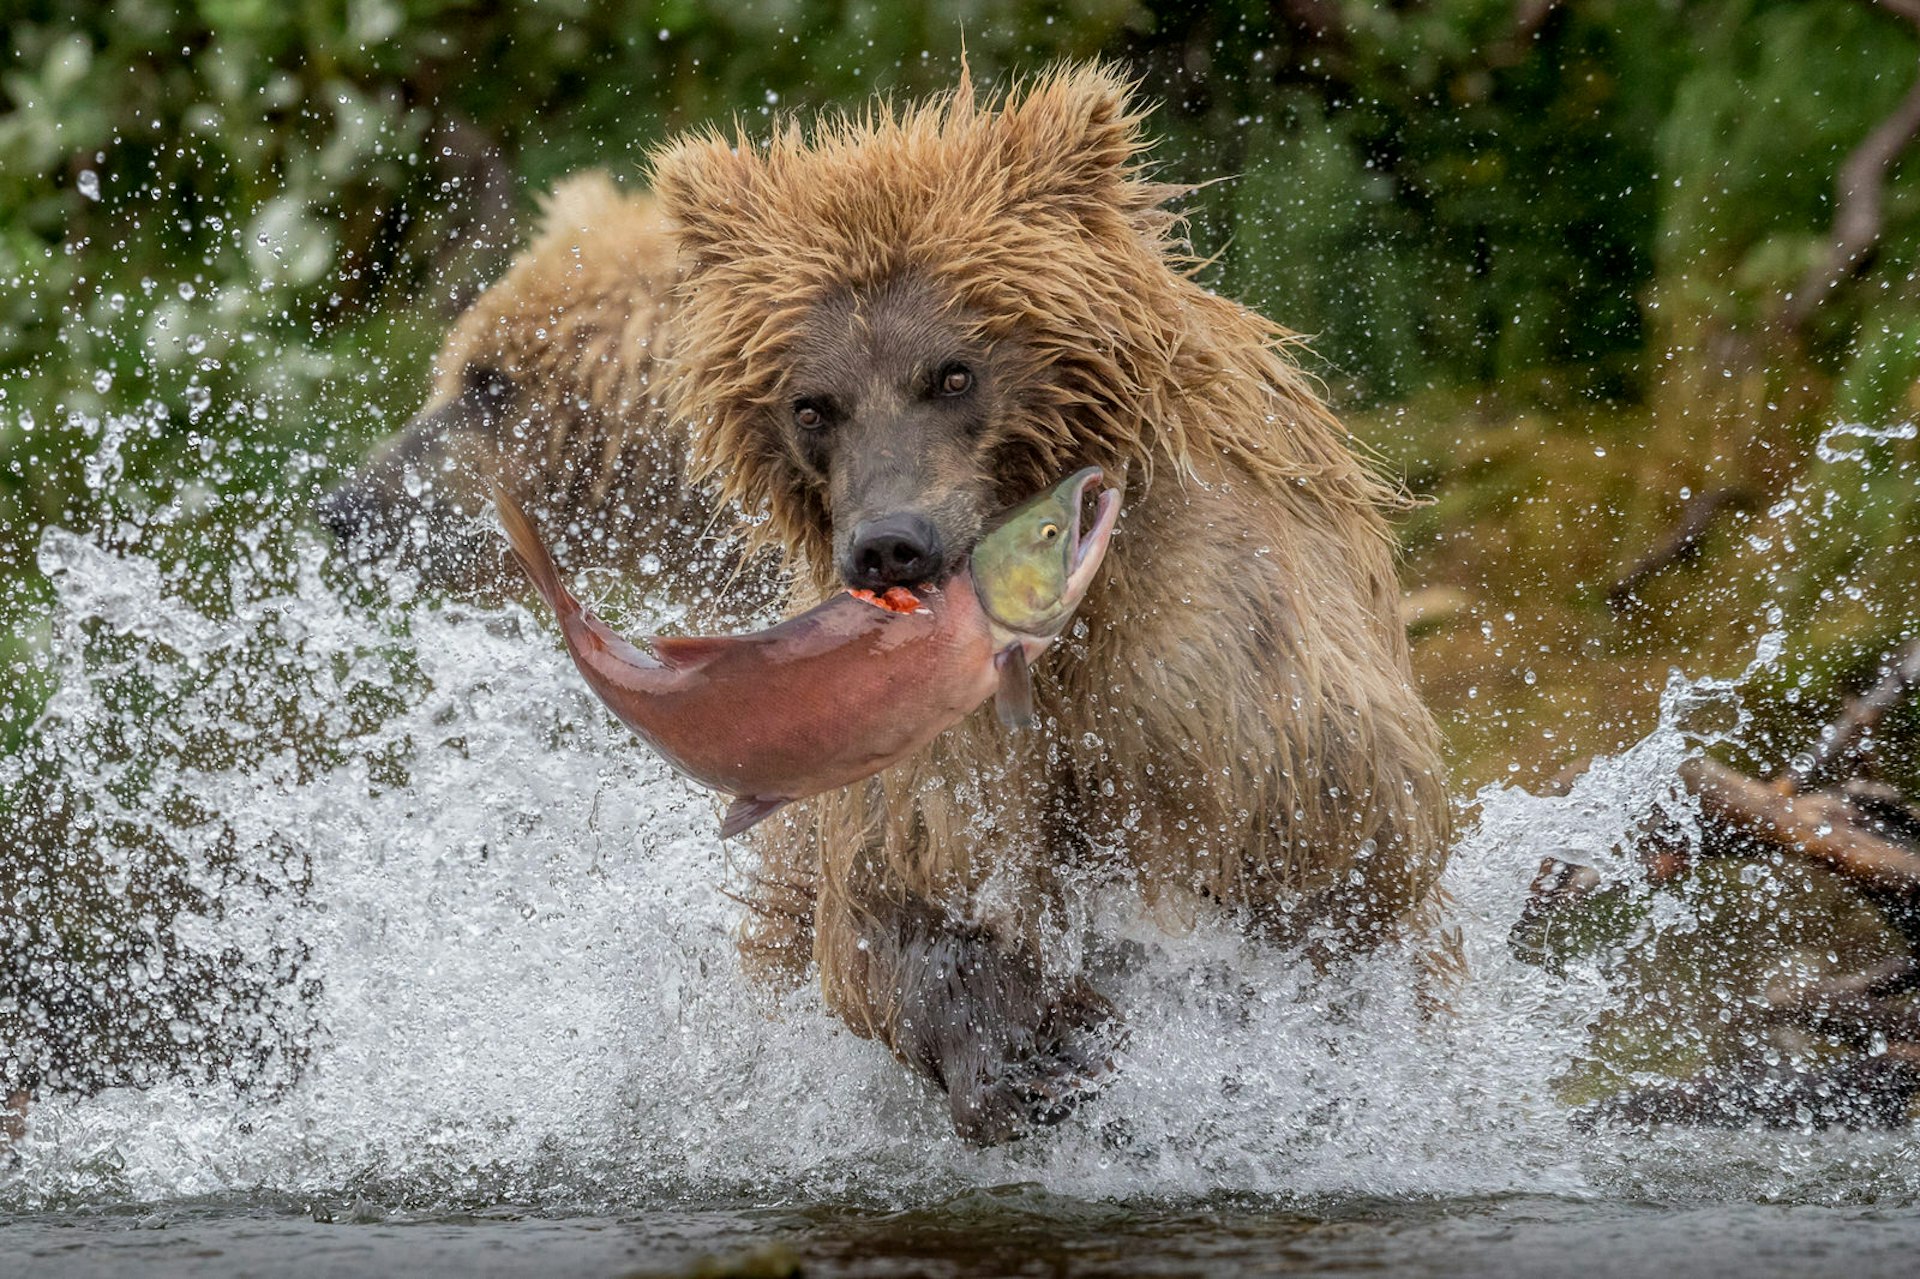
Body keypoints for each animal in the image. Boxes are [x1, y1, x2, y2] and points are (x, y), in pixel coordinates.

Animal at [652, 62, 1443, 1136]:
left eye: (953, 371)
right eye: (812, 403)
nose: (890, 544)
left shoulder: (1216, 652)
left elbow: (1325, 846)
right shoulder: (917, 710)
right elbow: (906, 885)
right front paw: (1023, 1055)